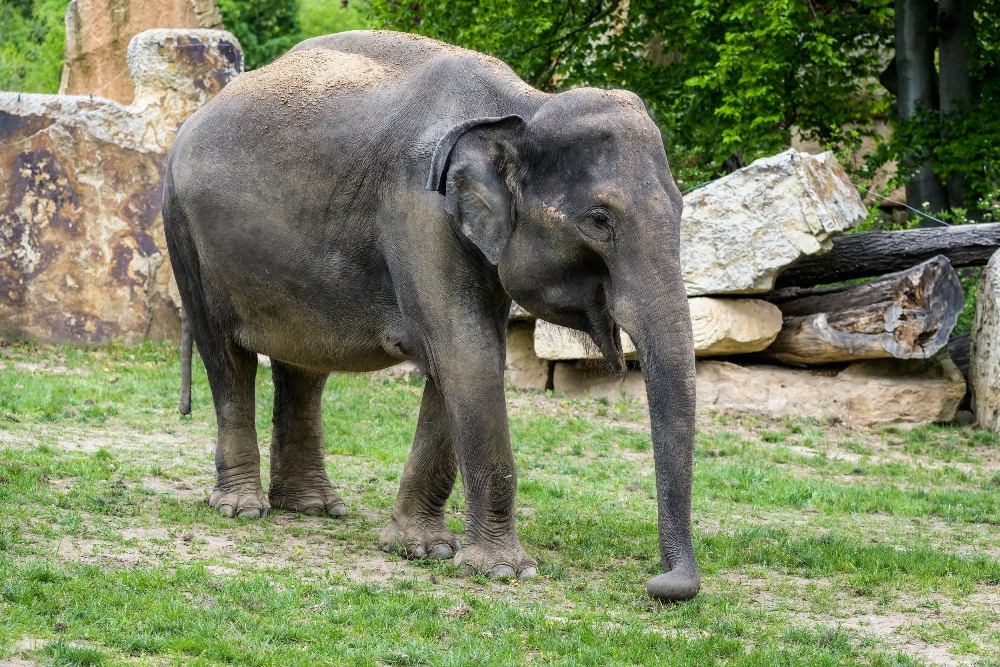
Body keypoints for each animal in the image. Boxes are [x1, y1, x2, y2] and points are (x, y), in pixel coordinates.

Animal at [162, 28, 696, 604]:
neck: (522, 106)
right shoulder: (418, 211)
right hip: (184, 234)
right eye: (599, 220)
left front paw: (421, 550)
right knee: (227, 357)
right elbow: (466, 354)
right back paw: (242, 509)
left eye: (682, 206)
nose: (664, 585)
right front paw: (504, 571)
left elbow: (464, 360)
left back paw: (313, 508)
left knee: (303, 368)